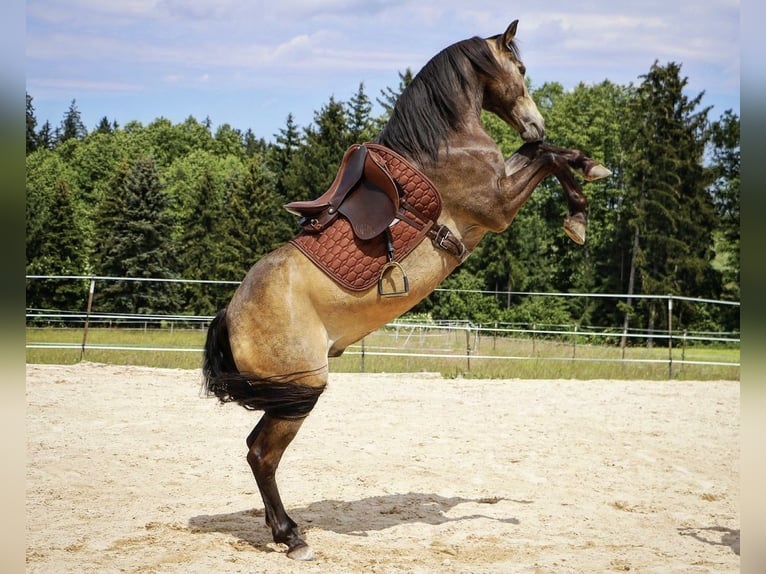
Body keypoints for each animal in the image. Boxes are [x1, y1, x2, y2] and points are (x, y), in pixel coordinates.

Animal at [202, 19, 610, 560]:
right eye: (520, 68)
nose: (535, 123)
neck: (448, 145)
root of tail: (230, 315)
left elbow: (543, 154)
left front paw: (585, 172)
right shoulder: (499, 205)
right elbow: (546, 158)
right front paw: (580, 208)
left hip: (291, 394)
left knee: (255, 452)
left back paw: (282, 531)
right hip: (302, 390)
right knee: (262, 455)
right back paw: (293, 537)